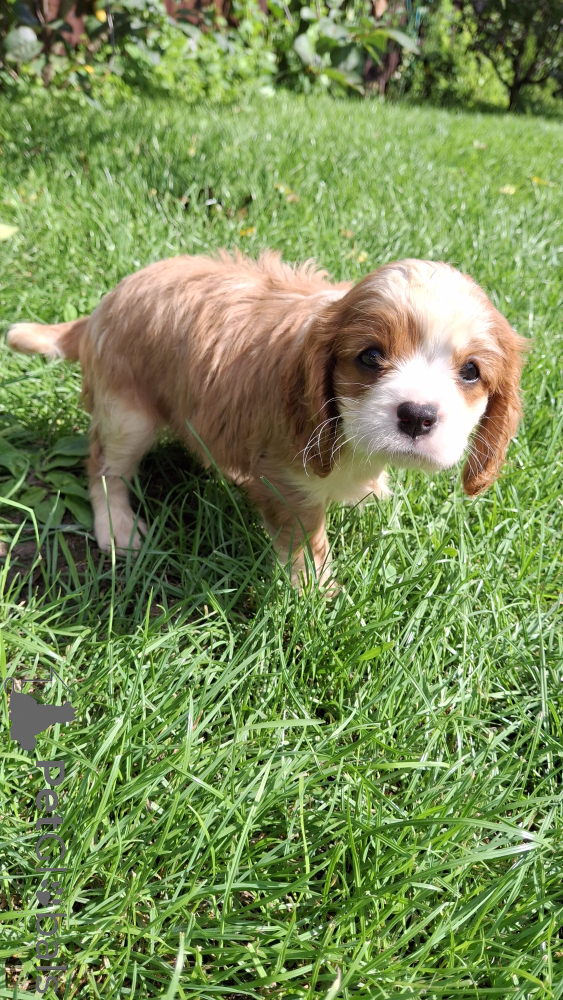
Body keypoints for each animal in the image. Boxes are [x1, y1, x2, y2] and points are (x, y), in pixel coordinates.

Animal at [7, 251, 526, 588]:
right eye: (370, 356)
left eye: (471, 372)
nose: (417, 415)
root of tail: (102, 305)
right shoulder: (283, 477)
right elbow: (306, 537)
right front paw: (317, 594)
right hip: (126, 414)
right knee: (103, 466)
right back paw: (117, 527)